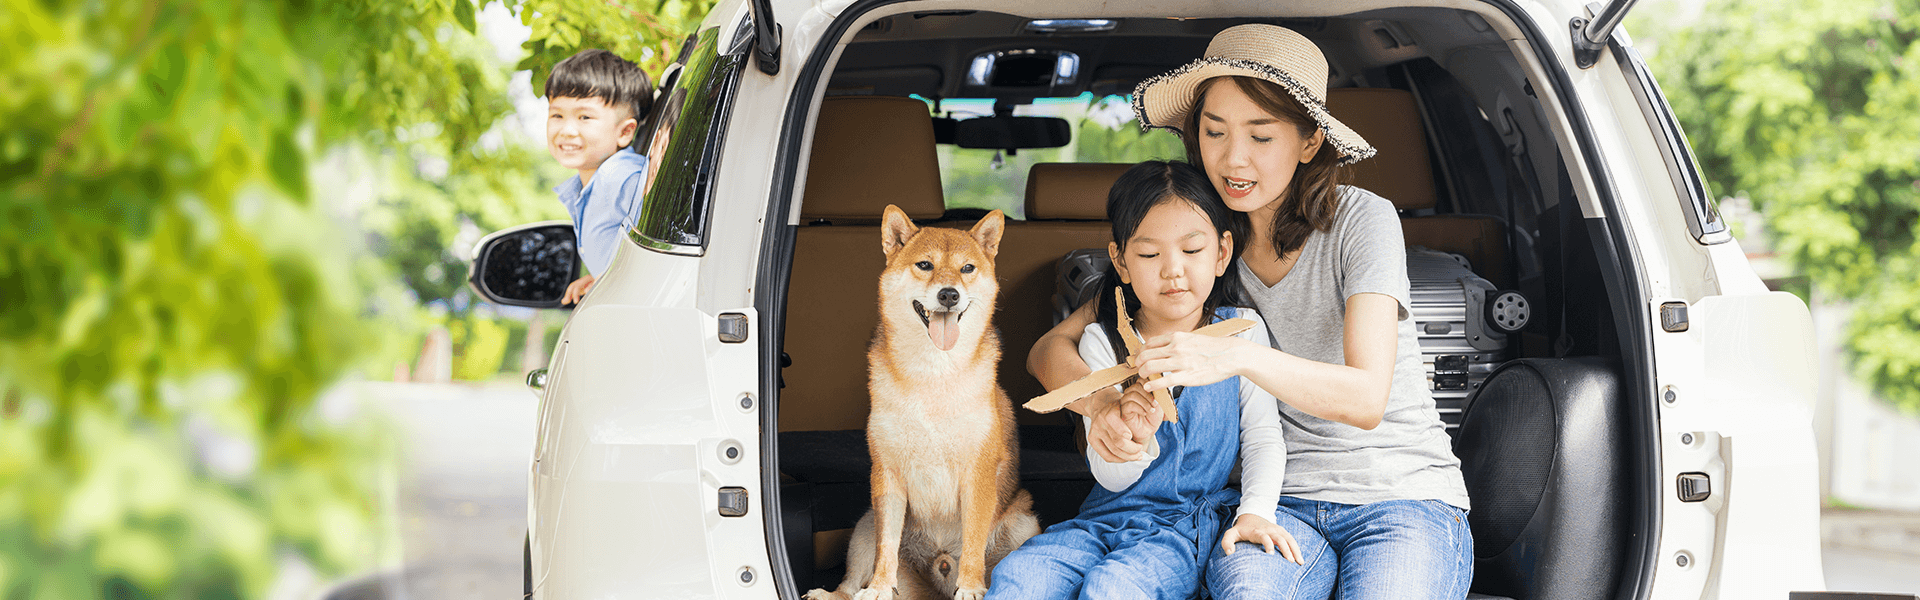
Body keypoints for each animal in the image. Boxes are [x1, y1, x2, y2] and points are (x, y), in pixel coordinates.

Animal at [798, 207, 1036, 600]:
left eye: (967, 268)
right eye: (925, 265)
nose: (949, 294)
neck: (933, 375)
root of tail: (938, 570)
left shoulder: (979, 473)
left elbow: (973, 543)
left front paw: (971, 587)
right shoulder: (887, 474)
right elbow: (886, 546)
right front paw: (879, 588)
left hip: (1024, 523)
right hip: (864, 524)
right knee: (853, 578)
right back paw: (835, 594)